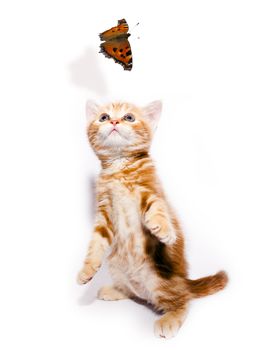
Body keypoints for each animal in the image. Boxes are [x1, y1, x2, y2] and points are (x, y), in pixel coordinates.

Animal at [77, 100, 228, 338]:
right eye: (103, 117)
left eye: (129, 117)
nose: (114, 121)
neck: (119, 166)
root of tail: (184, 282)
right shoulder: (104, 212)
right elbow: (95, 244)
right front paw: (87, 270)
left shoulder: (152, 191)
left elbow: (158, 208)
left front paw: (164, 230)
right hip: (116, 266)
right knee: (133, 292)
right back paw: (115, 290)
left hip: (159, 277)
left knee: (183, 301)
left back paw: (170, 318)